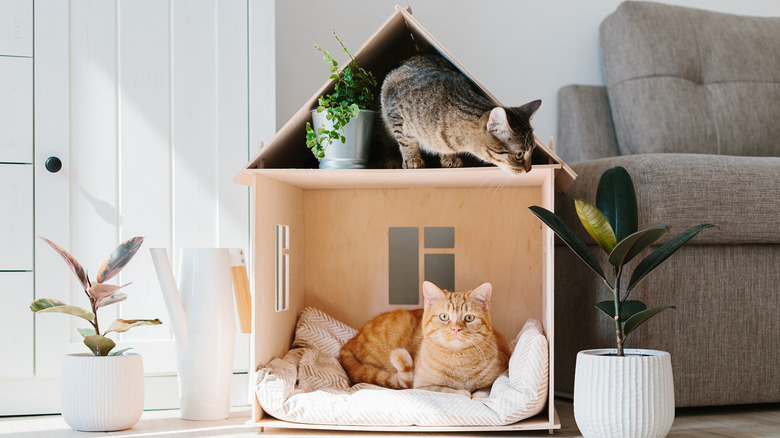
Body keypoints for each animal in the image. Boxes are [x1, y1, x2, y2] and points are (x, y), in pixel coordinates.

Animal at [340, 280, 512, 396]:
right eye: (444, 316)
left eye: (469, 318)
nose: (456, 328)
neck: (460, 362)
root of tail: (351, 340)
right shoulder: (422, 386)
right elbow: (449, 390)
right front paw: (463, 392)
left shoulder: (498, 374)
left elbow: (483, 391)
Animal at [380, 53, 540, 173]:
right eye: (519, 154)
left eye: (533, 151)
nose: (530, 169)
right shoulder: (394, 109)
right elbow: (406, 141)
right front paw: (412, 158)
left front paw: (449, 157)